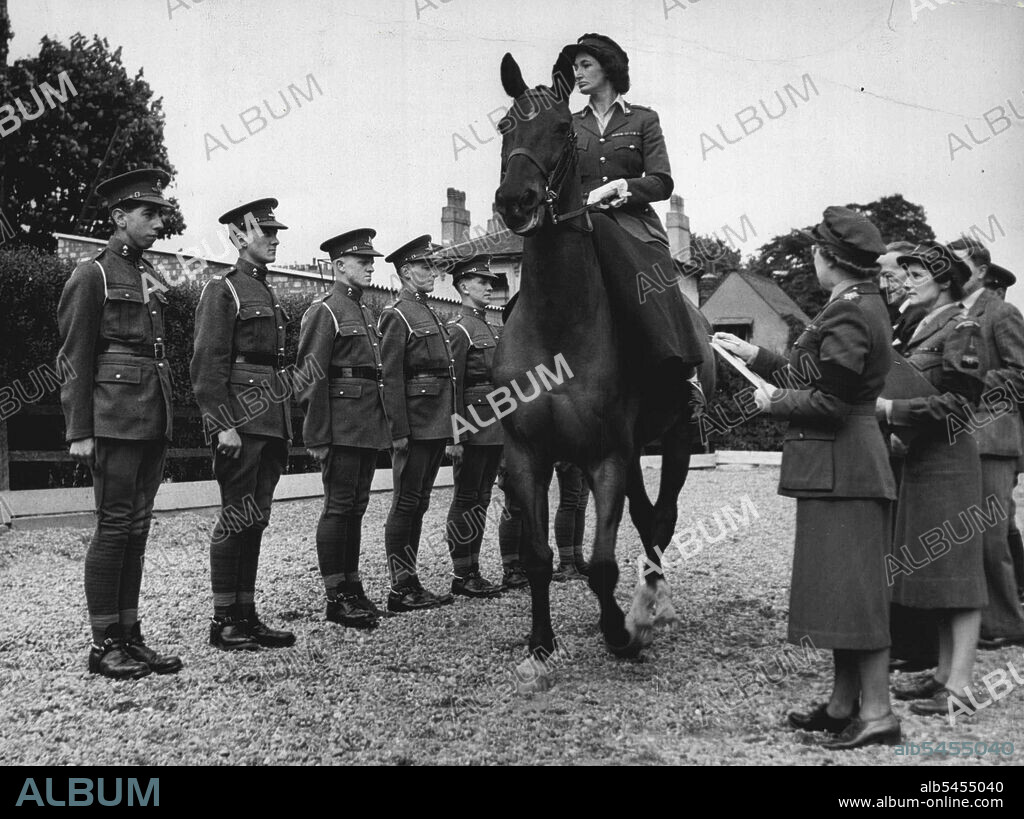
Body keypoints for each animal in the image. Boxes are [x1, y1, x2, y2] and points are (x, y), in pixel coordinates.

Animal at [491, 49, 716, 683]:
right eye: (504, 126)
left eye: (562, 130)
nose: (515, 201)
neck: (556, 325)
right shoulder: (528, 456)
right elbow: (540, 557)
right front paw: (540, 643)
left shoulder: (606, 456)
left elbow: (600, 563)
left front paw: (621, 632)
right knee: (645, 517)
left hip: (676, 440)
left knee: (660, 519)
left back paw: (650, 607)